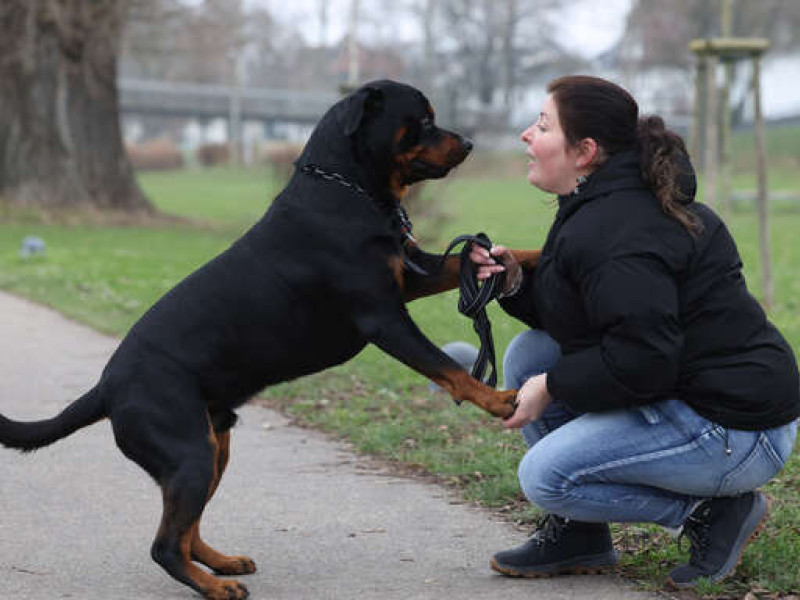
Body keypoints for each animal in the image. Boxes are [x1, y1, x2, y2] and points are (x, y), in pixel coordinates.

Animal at [1, 79, 536, 600]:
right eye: (422, 120)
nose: (469, 142)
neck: (347, 190)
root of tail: (106, 386)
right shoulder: (383, 316)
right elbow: (446, 367)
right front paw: (498, 399)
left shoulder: (412, 273)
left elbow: (489, 256)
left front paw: (524, 257)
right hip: (189, 452)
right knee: (165, 545)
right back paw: (216, 587)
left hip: (212, 446)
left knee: (186, 530)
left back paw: (221, 564)